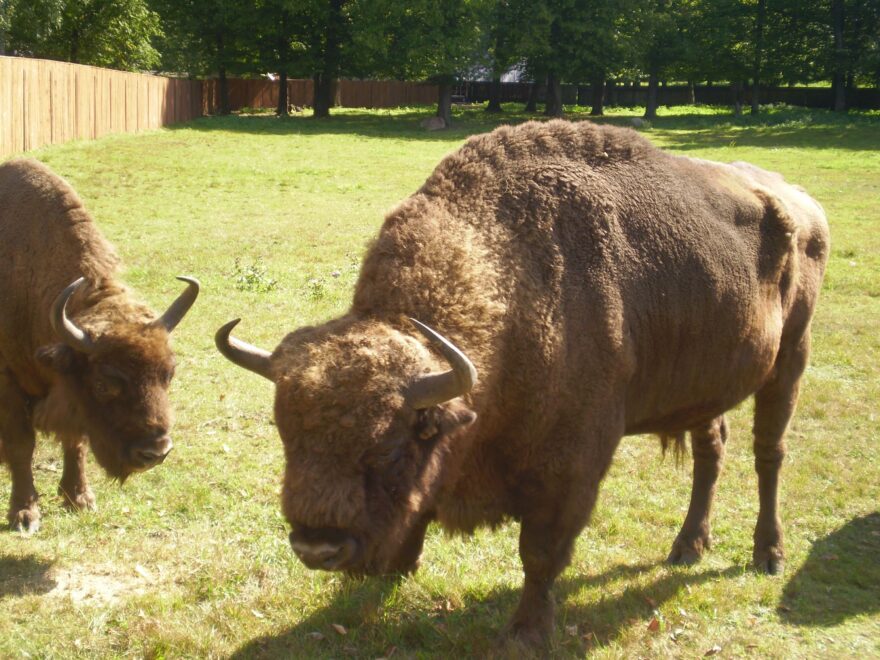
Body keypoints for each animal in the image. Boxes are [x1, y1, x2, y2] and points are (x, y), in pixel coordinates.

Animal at [0, 157, 199, 532]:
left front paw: (79, 499)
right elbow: (21, 445)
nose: (155, 453)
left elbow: (74, 440)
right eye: (105, 383)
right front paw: (24, 514)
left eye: (169, 374)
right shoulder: (9, 384)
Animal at [217, 120, 828, 644]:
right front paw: (393, 573)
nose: (315, 547)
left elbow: (540, 553)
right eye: (286, 435)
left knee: (769, 452)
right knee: (711, 449)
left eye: (390, 448)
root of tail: (802, 203)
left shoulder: (570, 467)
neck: (513, 278)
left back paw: (767, 554)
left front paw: (525, 634)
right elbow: (421, 514)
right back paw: (687, 546)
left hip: (790, 359)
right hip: (706, 384)